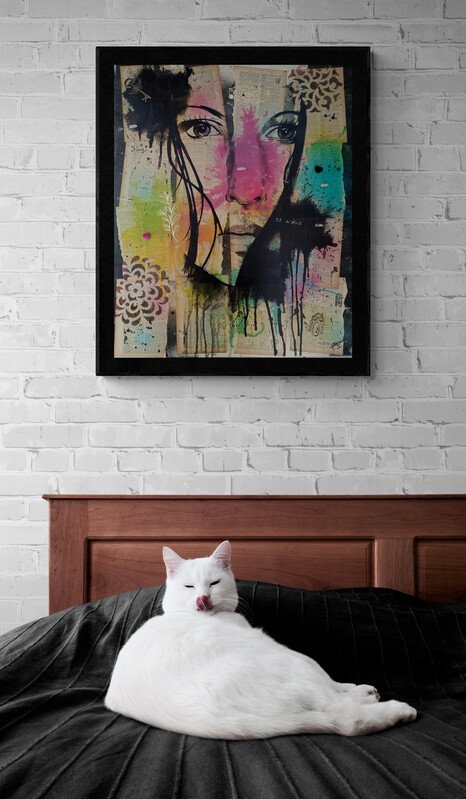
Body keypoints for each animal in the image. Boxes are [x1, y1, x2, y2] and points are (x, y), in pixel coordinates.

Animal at [104, 541, 417, 739]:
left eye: (214, 583)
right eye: (189, 586)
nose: (203, 598)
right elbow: (333, 686)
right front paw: (358, 691)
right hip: (290, 658)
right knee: (344, 714)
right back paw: (393, 707)